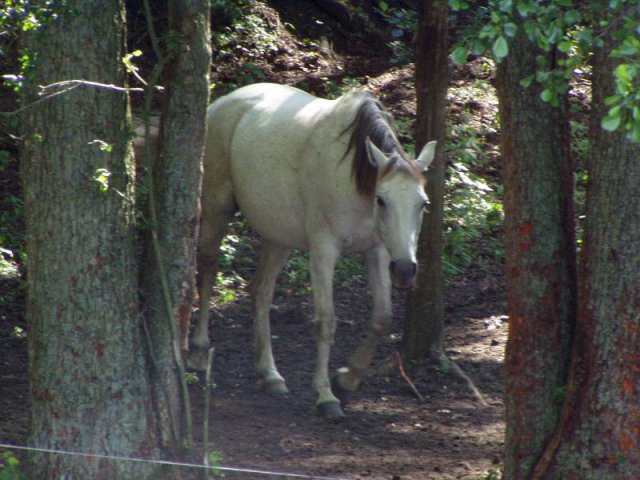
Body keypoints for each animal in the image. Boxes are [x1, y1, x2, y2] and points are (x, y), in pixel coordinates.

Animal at [192, 81, 438, 416]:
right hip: (217, 207)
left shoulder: (378, 250)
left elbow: (382, 318)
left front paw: (347, 377)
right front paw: (326, 396)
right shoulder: (324, 250)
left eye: (423, 203)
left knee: (261, 292)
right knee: (207, 269)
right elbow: (326, 322)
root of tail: (221, 103)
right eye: (382, 199)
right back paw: (199, 352)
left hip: (278, 236)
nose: (404, 269)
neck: (352, 176)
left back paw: (270, 375)